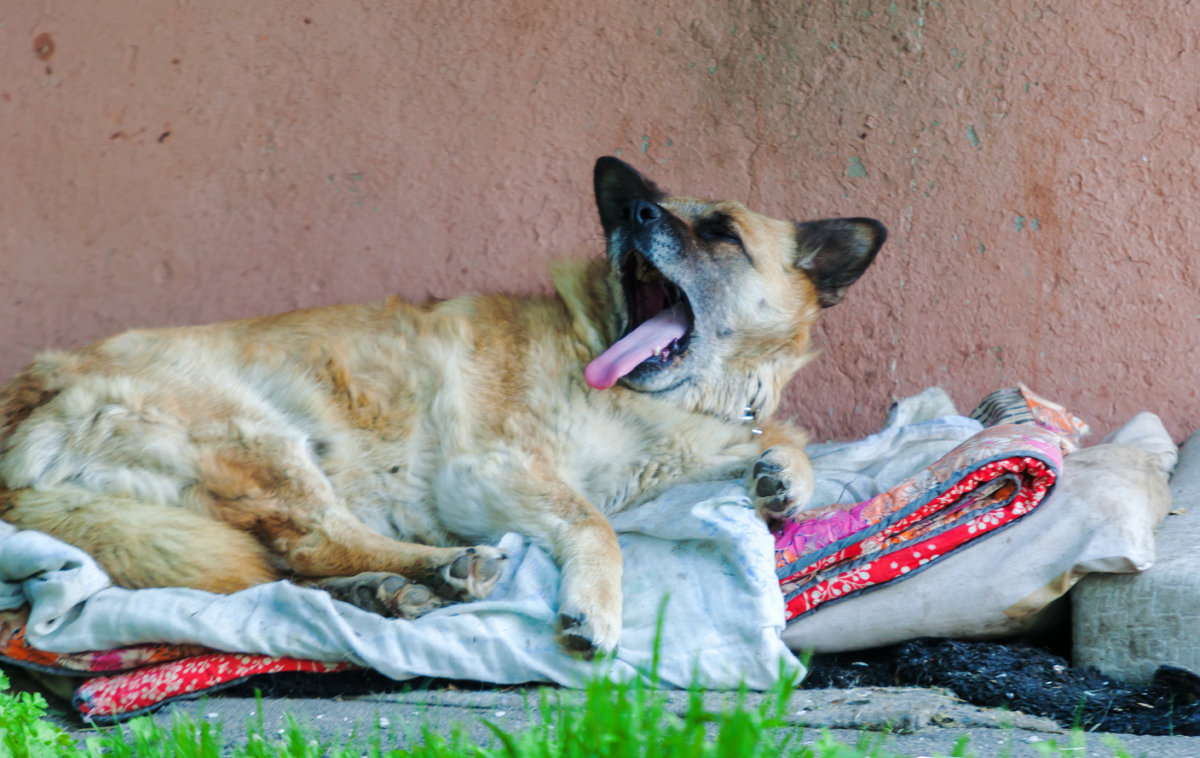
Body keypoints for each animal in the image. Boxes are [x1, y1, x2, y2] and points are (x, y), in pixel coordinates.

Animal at [0, 157, 883, 652]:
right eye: (658, 211)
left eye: (722, 232)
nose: (632, 214)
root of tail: (27, 397)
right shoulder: (490, 471)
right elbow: (595, 524)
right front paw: (593, 607)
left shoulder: (681, 452)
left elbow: (784, 438)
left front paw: (784, 479)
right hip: (261, 435)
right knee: (313, 544)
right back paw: (439, 569)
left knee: (280, 572)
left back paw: (389, 593)